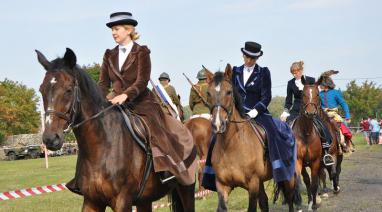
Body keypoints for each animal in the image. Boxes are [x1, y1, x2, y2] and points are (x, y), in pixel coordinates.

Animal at [37, 48, 195, 212]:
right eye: (41, 90)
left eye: (68, 90)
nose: (50, 139)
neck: (101, 146)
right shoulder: (91, 201)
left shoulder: (122, 201)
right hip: (145, 200)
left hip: (186, 188)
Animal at [204, 64, 296, 212]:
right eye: (208, 93)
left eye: (229, 92)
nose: (218, 125)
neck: (230, 145)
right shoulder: (222, 186)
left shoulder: (252, 184)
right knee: (264, 201)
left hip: (288, 175)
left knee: (289, 196)